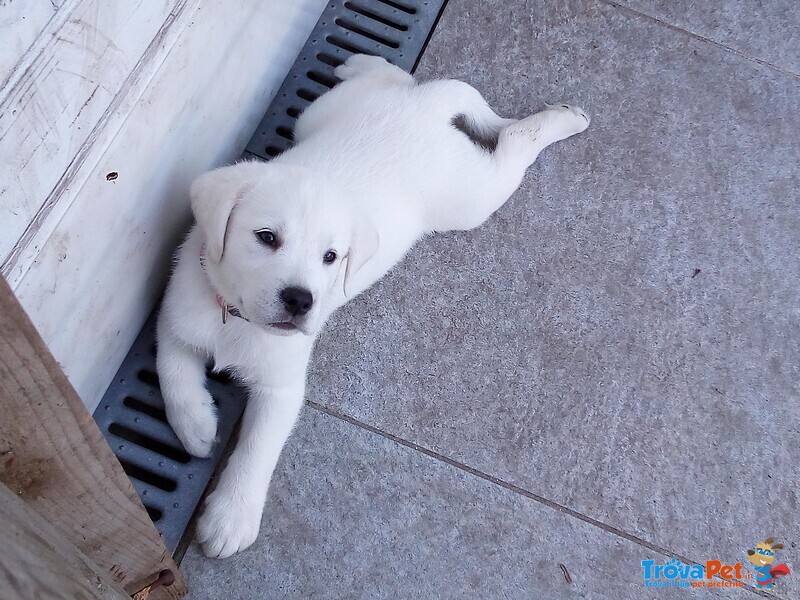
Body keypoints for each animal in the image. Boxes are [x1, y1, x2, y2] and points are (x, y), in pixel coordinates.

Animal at [156, 55, 588, 556]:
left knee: (515, 145)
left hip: (472, 195)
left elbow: (256, 450)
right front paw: (197, 426)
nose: (301, 300)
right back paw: (363, 63)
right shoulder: (176, 317)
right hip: (320, 117)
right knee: (396, 79)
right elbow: (173, 372)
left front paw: (231, 518)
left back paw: (566, 119)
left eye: (331, 257)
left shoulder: (281, 388)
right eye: (266, 238)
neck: (235, 319)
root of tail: (426, 108)